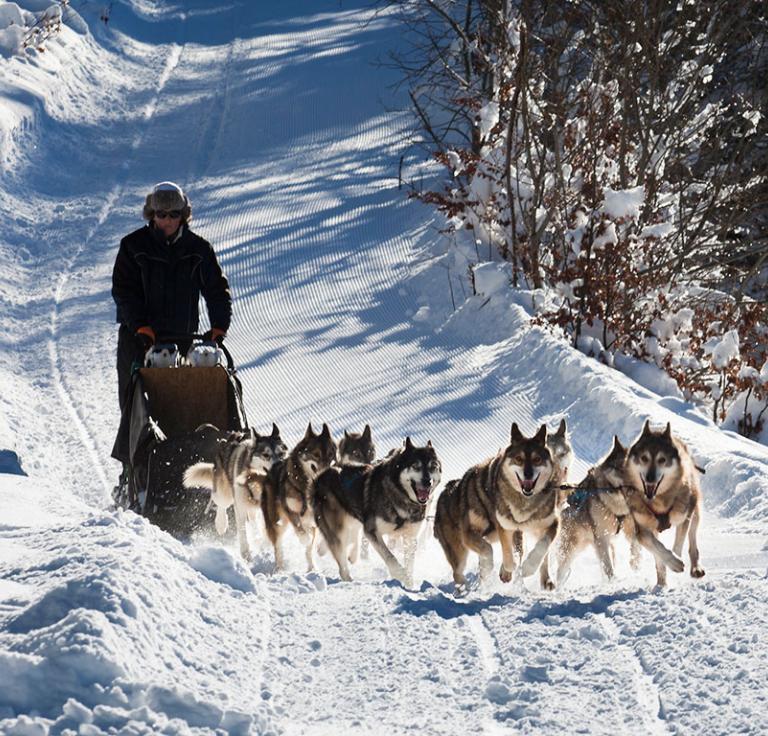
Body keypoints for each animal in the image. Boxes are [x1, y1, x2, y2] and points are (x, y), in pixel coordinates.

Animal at [183, 426, 288, 556]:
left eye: (281, 454)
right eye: (266, 455)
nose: (280, 465)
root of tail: (228, 440)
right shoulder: (240, 507)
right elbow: (242, 532)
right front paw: (246, 554)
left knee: (253, 520)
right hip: (224, 494)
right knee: (220, 503)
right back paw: (221, 524)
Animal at [260, 422, 336, 572]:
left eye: (330, 455)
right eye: (316, 455)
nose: (327, 474)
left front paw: (322, 549)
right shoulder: (290, 511)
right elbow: (300, 531)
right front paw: (304, 539)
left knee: (308, 551)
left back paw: (312, 568)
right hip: (278, 523)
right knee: (278, 547)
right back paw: (279, 569)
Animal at [314, 436, 444, 588]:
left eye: (433, 467)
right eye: (415, 466)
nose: (427, 482)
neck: (401, 496)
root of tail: (321, 475)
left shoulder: (410, 537)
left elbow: (409, 564)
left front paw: (409, 584)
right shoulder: (371, 531)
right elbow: (390, 557)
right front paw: (401, 575)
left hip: (352, 523)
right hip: (340, 530)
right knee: (341, 561)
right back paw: (350, 581)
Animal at [556, 436, 640, 588]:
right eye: (622, 469)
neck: (616, 506)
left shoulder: (630, 529)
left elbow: (635, 549)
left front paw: (635, 567)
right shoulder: (601, 538)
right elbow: (608, 567)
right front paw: (614, 584)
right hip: (572, 548)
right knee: (561, 571)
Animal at [620, 420, 704, 588]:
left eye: (662, 460)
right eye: (644, 458)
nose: (650, 478)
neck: (659, 501)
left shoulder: (684, 518)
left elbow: (678, 545)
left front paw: (676, 561)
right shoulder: (643, 528)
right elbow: (657, 549)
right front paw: (664, 577)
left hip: (694, 509)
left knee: (692, 538)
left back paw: (695, 567)